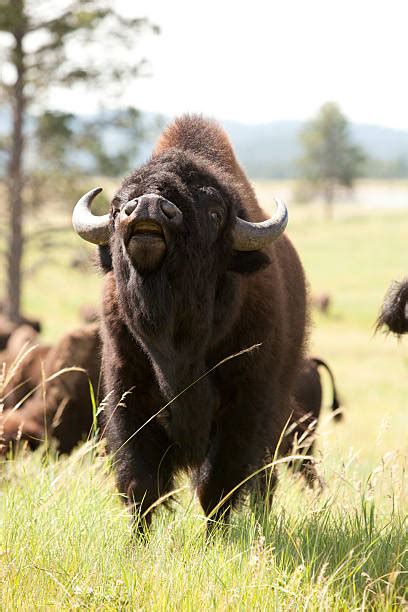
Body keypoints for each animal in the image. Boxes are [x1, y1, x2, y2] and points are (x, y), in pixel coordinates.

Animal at [71, 115, 308, 532]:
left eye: (214, 214)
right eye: (116, 209)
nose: (148, 206)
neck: (177, 349)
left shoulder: (243, 408)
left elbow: (216, 486)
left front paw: (216, 537)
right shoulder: (127, 396)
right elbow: (140, 485)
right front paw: (137, 541)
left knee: (264, 478)